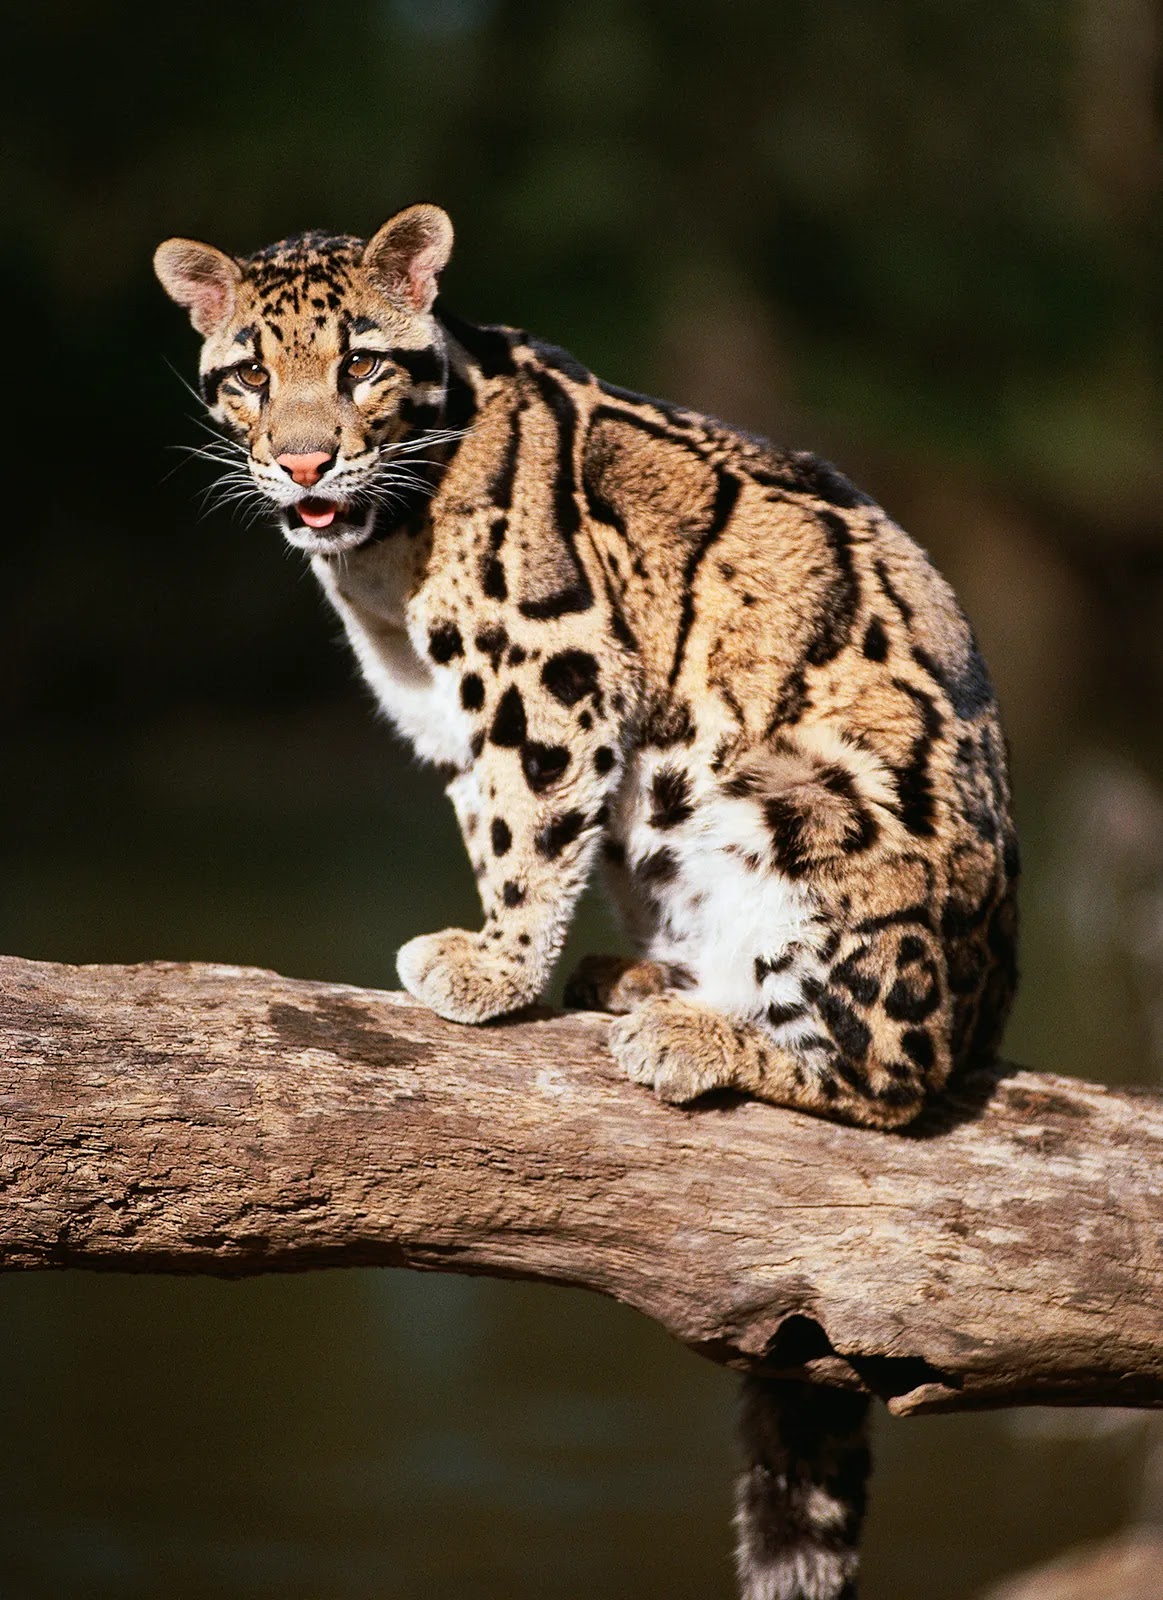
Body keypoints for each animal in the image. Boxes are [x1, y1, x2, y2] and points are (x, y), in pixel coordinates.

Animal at [156, 203, 1018, 1600]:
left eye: (359, 364)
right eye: (247, 374)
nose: (300, 461)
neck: (379, 555)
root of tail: (998, 991)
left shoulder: (548, 662)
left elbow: (527, 821)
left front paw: (493, 969)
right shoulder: (447, 710)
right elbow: (495, 815)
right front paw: (512, 960)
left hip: (803, 817)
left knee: (898, 1076)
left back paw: (692, 1031)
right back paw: (645, 975)